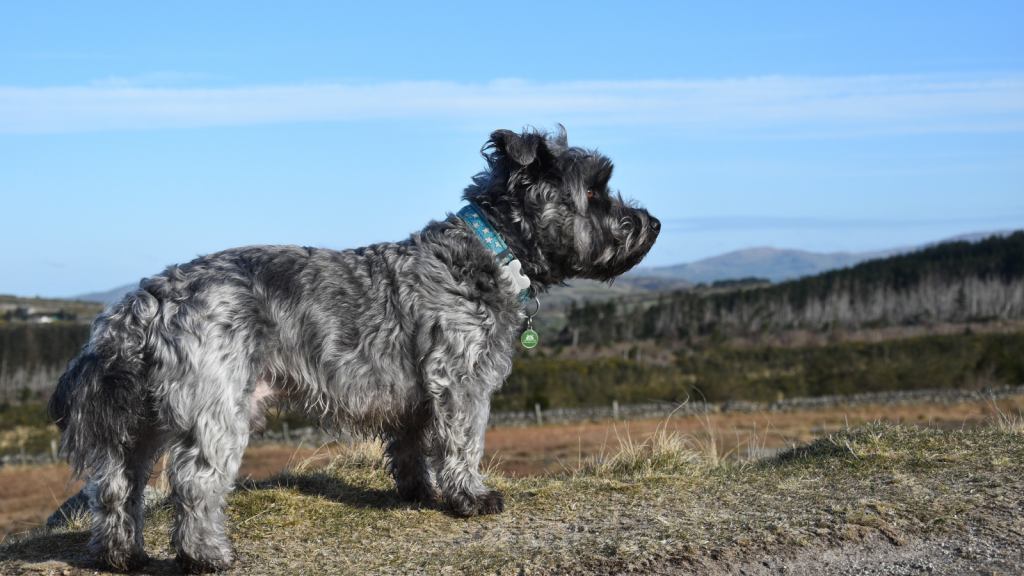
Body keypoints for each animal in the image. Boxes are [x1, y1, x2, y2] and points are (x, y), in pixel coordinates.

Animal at [49, 126, 655, 569]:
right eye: (594, 191)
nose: (651, 222)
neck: (491, 251)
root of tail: (147, 299)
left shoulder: (421, 392)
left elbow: (412, 445)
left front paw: (419, 492)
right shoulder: (461, 381)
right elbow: (463, 443)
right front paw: (470, 498)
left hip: (146, 418)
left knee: (117, 484)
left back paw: (122, 555)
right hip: (215, 408)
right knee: (195, 479)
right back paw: (208, 556)